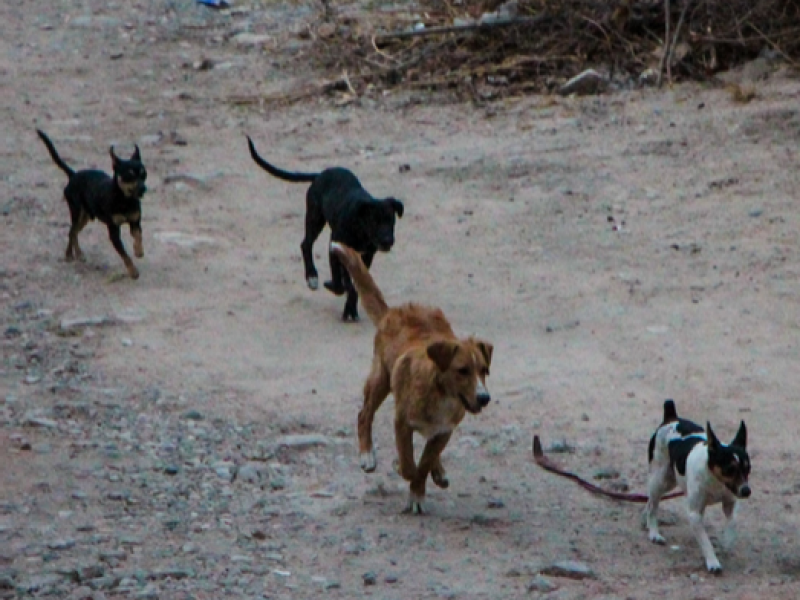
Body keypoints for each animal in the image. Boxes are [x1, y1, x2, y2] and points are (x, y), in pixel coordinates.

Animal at [36, 129, 148, 278]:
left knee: (75, 232)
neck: (124, 200)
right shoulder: (113, 232)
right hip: (76, 212)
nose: (143, 189)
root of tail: (73, 175)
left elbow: (138, 236)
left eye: (144, 174)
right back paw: (69, 254)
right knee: (71, 231)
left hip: (86, 217)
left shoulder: (135, 222)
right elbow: (124, 255)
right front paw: (133, 271)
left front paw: (138, 250)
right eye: (129, 175)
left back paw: (78, 253)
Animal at [247, 137, 404, 324]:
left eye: (391, 221)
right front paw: (336, 287)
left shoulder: (366, 256)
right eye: (373, 222)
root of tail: (320, 175)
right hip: (315, 218)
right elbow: (340, 282)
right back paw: (311, 276)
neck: (360, 227)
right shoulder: (334, 247)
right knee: (305, 244)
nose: (388, 241)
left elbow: (355, 284)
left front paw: (350, 308)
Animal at [328, 241, 490, 512]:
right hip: (380, 379)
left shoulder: (444, 431)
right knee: (364, 414)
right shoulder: (402, 423)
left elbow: (424, 463)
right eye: (462, 370)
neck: (440, 394)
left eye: (484, 370)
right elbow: (408, 464)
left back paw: (438, 470)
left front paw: (418, 490)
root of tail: (394, 310)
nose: (484, 397)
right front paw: (403, 471)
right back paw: (367, 454)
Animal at [644, 398, 752, 572]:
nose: (746, 491)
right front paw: (713, 562)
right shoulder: (695, 515)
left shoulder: (730, 504)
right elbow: (705, 541)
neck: (715, 481)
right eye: (729, 469)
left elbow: (732, 522)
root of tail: (672, 417)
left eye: (748, 468)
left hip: (669, 480)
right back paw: (654, 533)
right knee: (652, 505)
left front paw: (727, 543)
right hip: (660, 480)